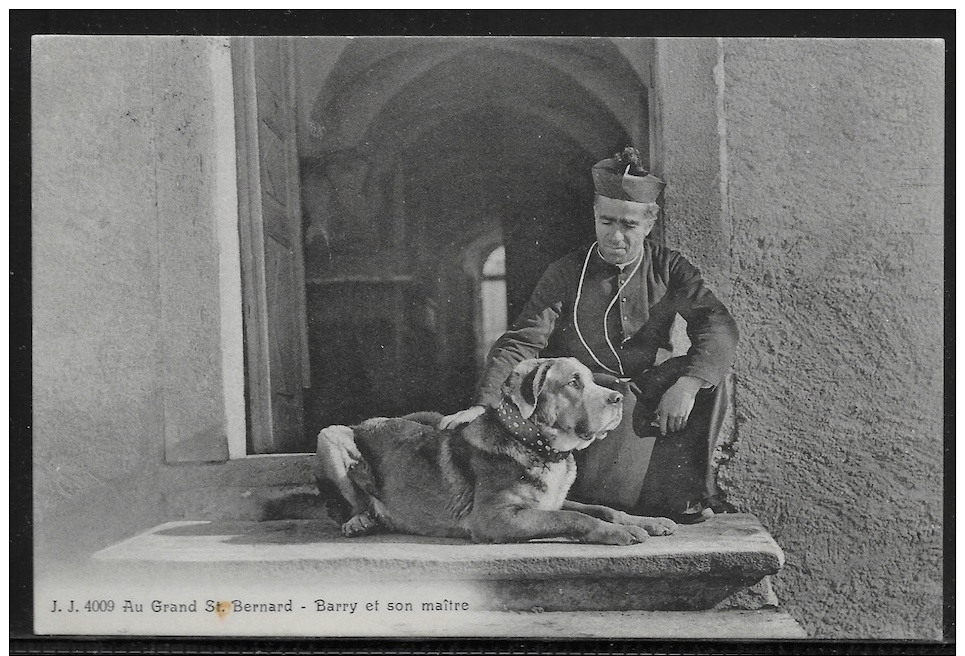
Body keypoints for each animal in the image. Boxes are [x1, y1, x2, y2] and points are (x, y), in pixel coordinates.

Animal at [312, 356, 676, 544]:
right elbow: (574, 517)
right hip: (330, 435)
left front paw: (647, 521)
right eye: (574, 382)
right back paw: (361, 521)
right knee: (353, 504)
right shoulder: (495, 519)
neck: (537, 446)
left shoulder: (551, 501)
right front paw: (620, 532)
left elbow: (601, 508)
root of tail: (364, 422)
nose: (617, 400)